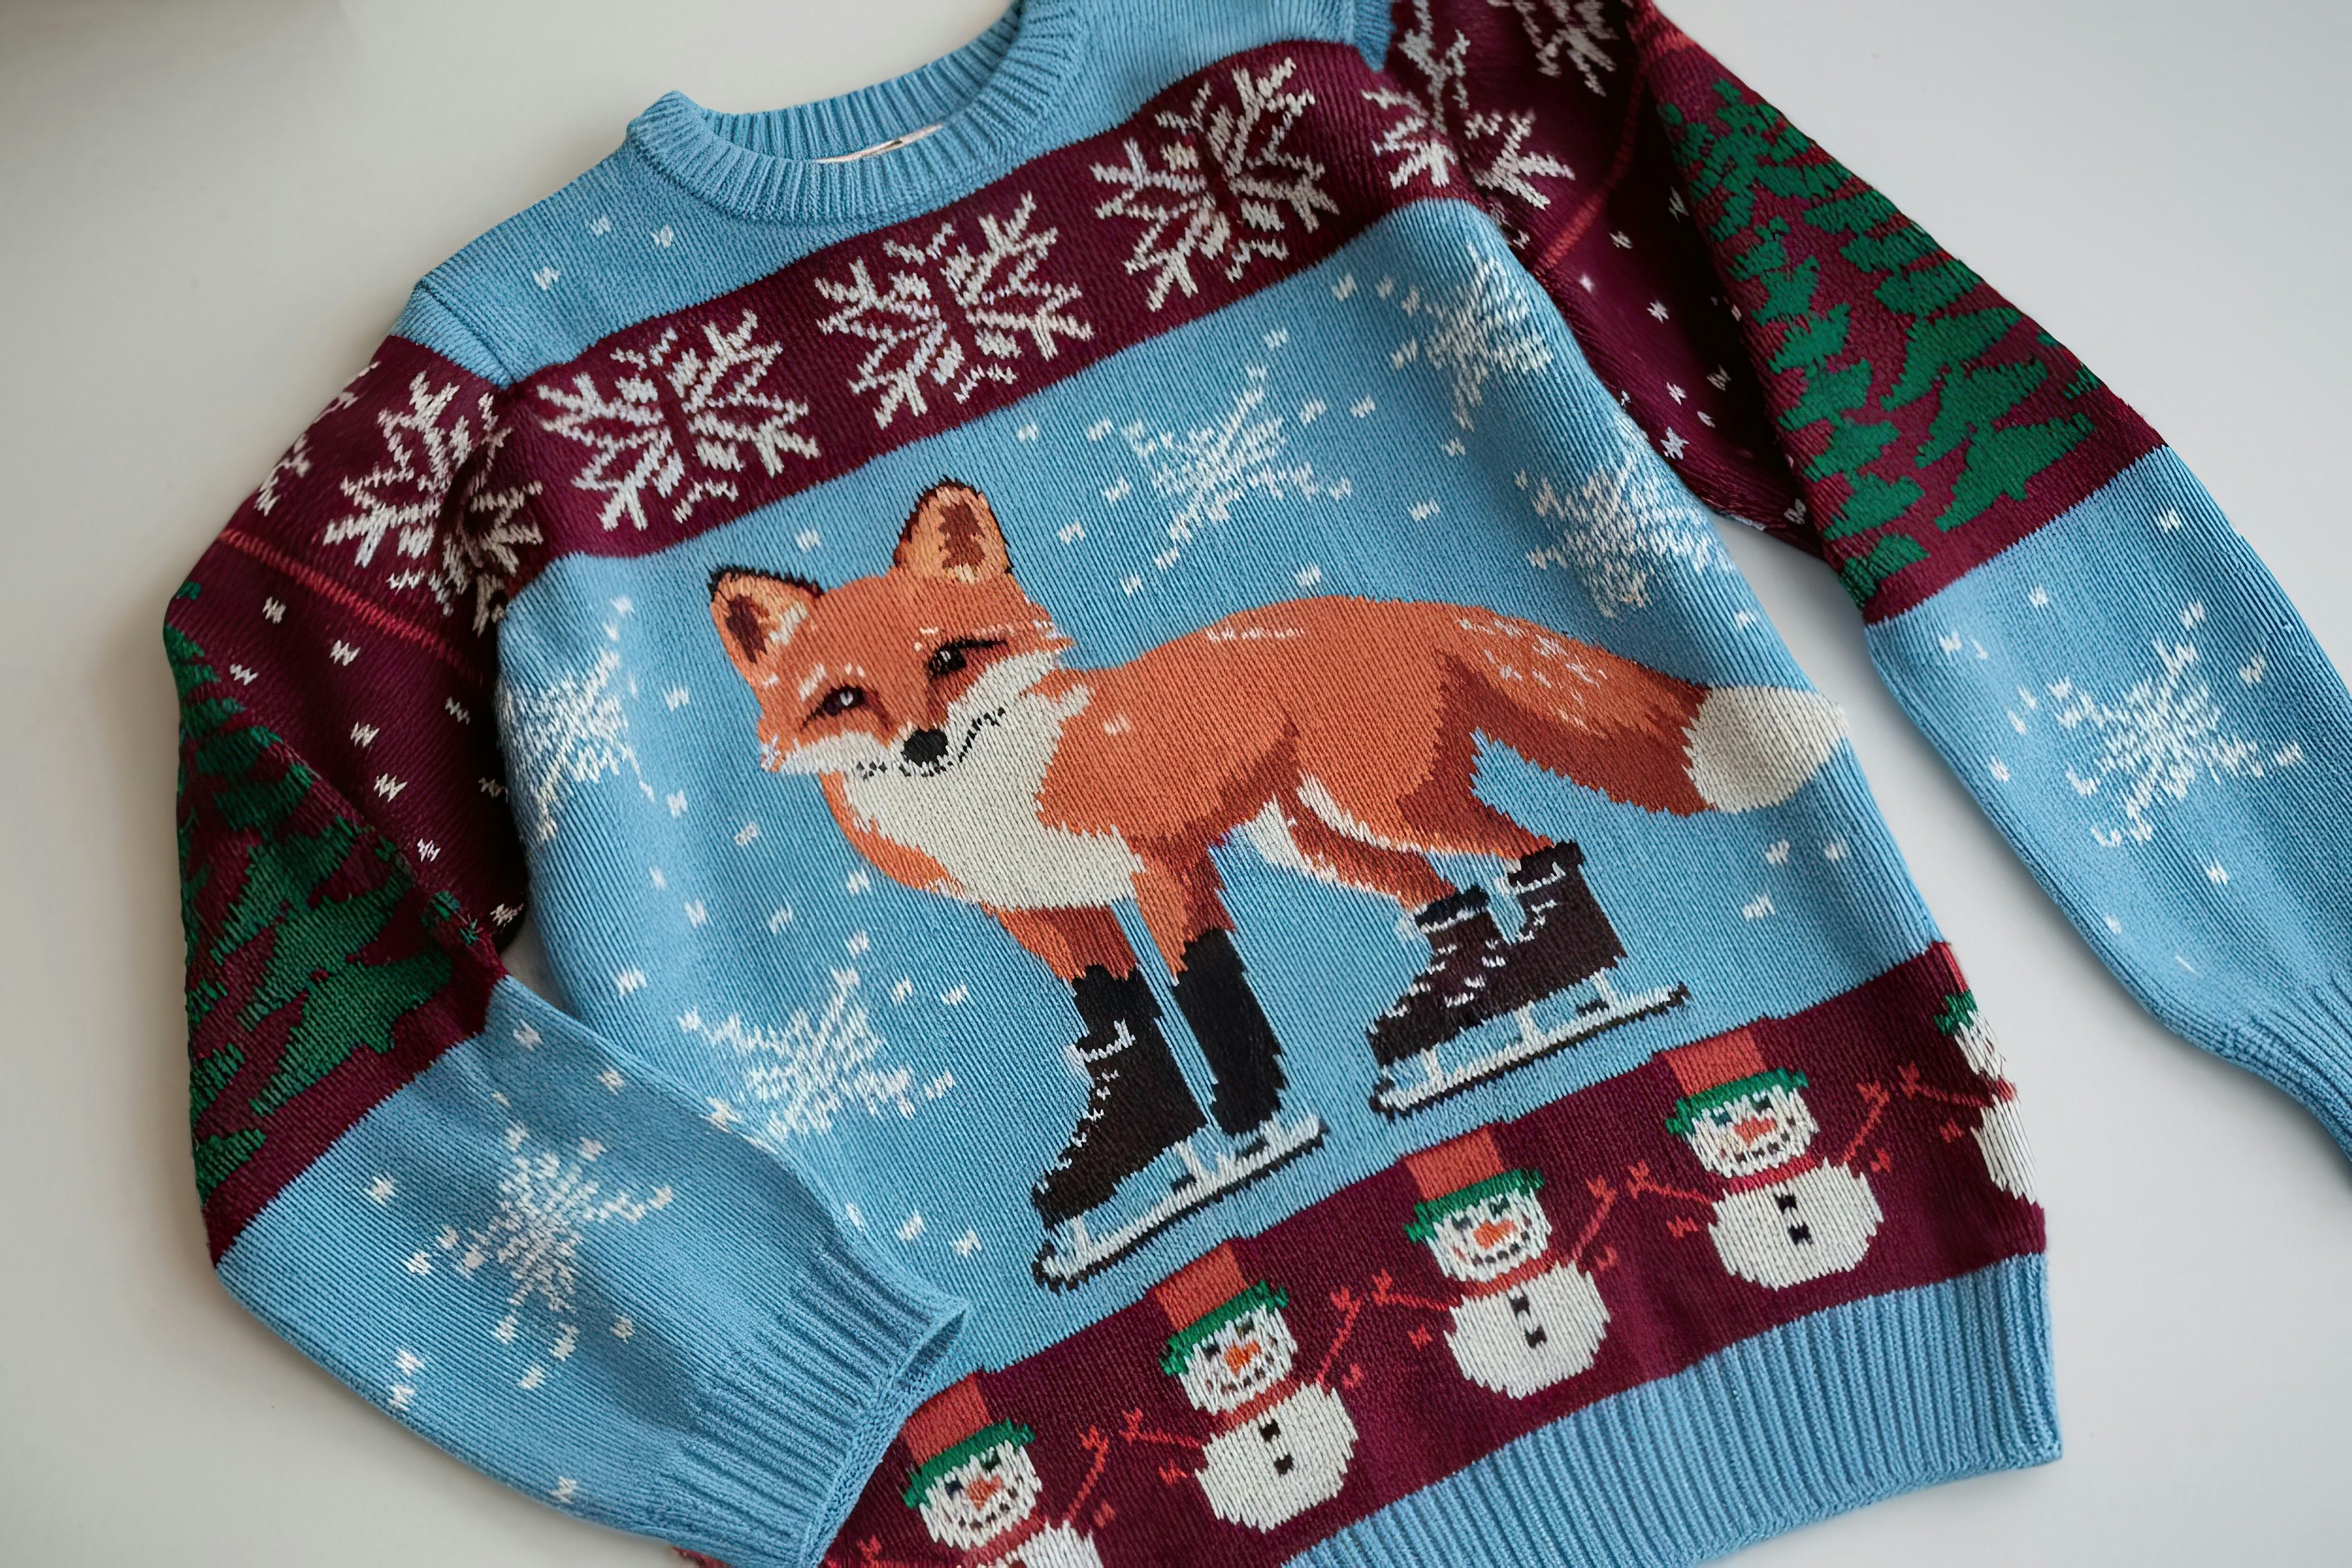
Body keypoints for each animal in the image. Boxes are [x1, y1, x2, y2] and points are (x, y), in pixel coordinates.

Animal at [710, 480, 1844, 1239]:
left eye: (948, 658)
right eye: (843, 698)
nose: (921, 746)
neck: (991, 796)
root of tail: (1384, 610)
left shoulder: (1161, 867)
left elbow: (1206, 992)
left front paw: (1251, 1120)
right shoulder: (1049, 916)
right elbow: (1119, 1030)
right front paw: (1137, 1152)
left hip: (1378, 805)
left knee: (1529, 849)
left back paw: (1558, 980)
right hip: (1309, 837)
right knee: (1447, 900)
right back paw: (1460, 1011)